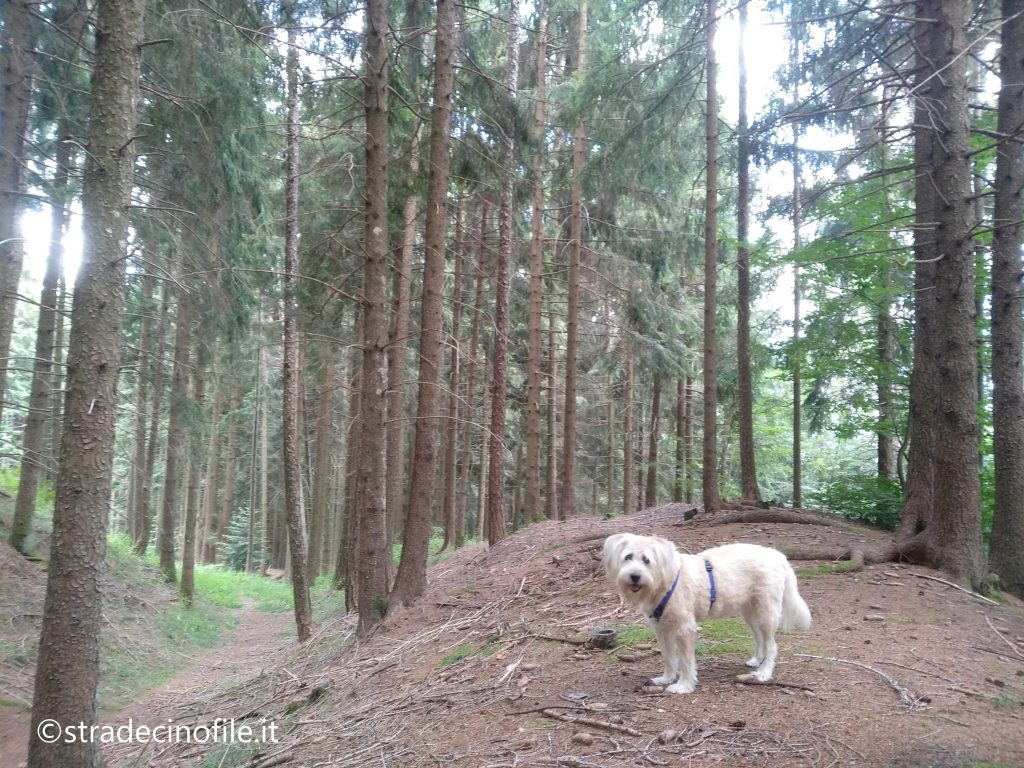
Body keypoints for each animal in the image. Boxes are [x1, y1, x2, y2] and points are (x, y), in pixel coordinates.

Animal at [602, 536, 811, 696]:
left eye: (647, 560)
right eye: (628, 557)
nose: (634, 576)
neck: (665, 582)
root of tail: (777, 555)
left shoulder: (684, 629)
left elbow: (686, 661)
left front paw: (683, 685)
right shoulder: (662, 629)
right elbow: (669, 658)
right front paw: (666, 678)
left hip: (766, 613)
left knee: (772, 645)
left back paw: (764, 672)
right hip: (750, 613)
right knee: (759, 638)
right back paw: (755, 661)